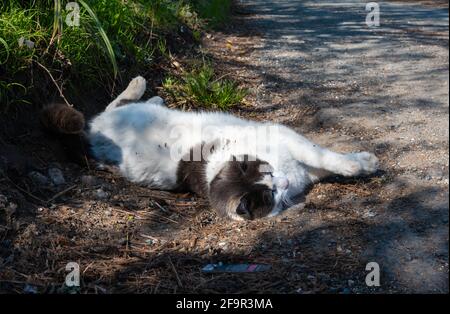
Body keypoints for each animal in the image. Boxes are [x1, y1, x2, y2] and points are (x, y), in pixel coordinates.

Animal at [42, 76, 380, 221]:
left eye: (271, 176)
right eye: (270, 194)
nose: (284, 182)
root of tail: (89, 137)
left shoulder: (290, 143)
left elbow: (322, 156)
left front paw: (358, 162)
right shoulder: (293, 151)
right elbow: (325, 158)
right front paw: (360, 164)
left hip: (122, 116)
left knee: (115, 104)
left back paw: (147, 92)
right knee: (111, 106)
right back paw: (142, 89)